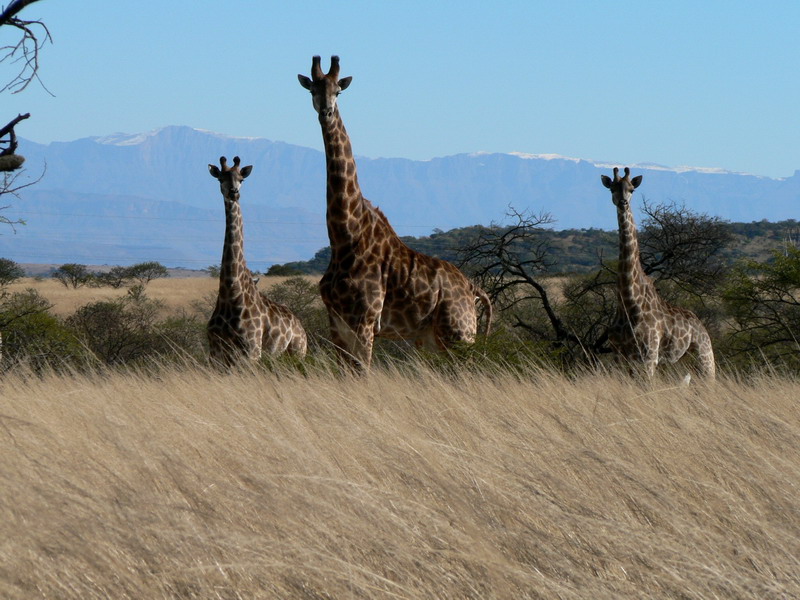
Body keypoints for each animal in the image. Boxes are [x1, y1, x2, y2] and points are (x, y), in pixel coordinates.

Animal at [206, 155, 306, 366]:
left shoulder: (251, 350)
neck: (231, 291)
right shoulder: (216, 351)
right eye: (220, 179)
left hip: (297, 351)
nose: (234, 193)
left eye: (241, 179)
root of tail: (300, 325)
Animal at [296, 56, 490, 370]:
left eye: (339, 91)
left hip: (459, 332)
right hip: (434, 337)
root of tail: (473, 288)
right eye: (313, 89)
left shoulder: (364, 320)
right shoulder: (337, 322)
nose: (326, 113)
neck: (344, 237)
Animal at [600, 165, 720, 380]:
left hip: (705, 358)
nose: (623, 203)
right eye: (612, 188)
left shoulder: (648, 357)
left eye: (632, 189)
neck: (629, 301)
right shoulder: (619, 356)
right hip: (678, 366)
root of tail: (701, 326)